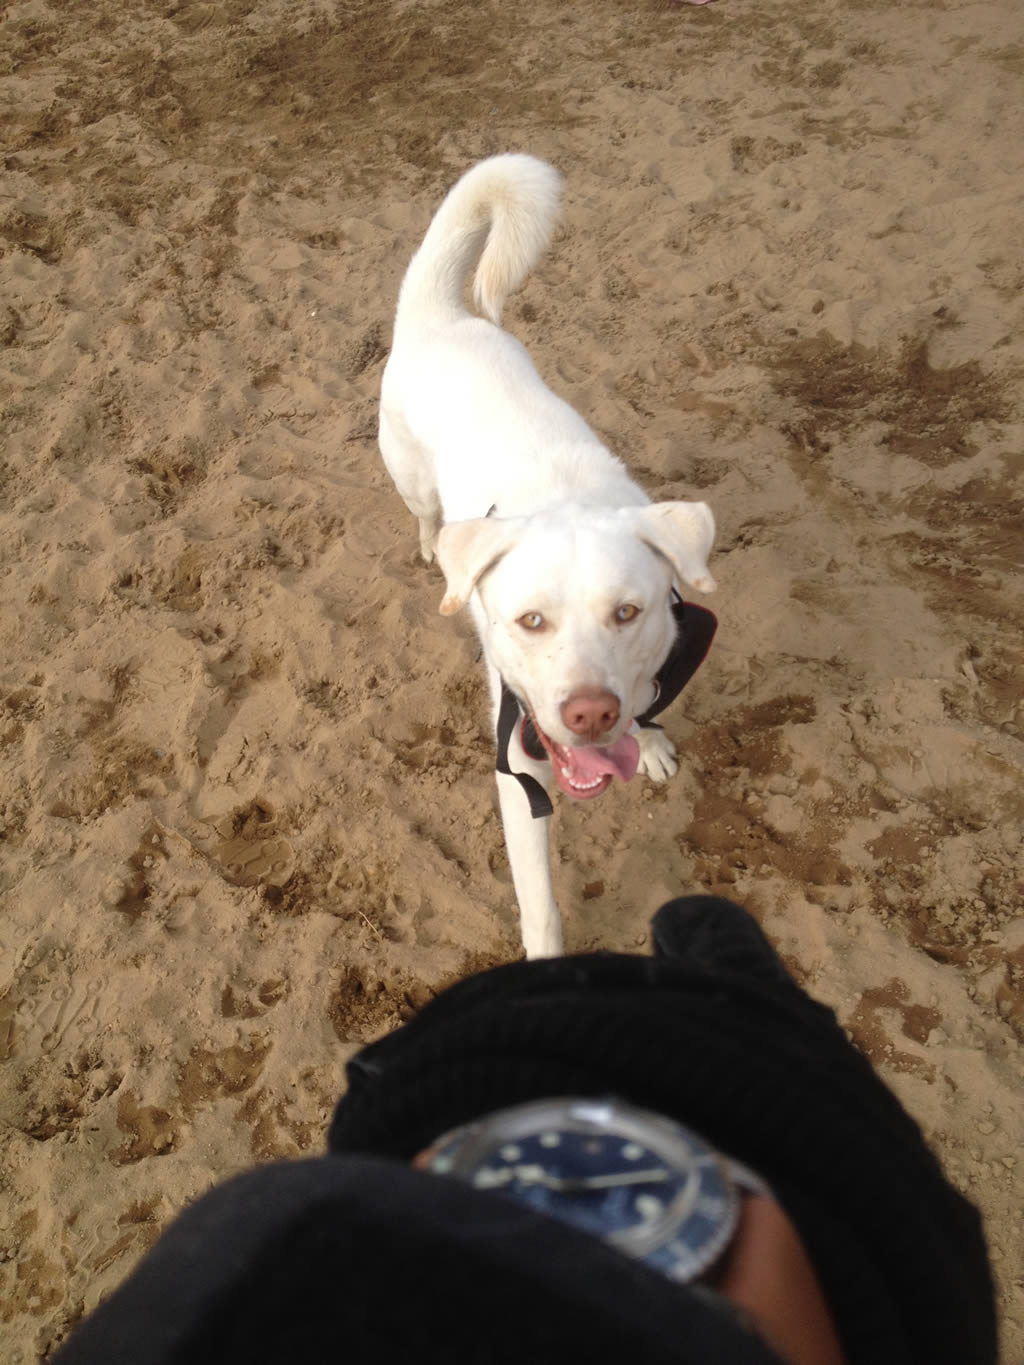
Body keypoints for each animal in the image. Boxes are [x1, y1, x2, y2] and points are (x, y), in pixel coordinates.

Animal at [378, 154, 717, 958]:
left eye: (628, 613)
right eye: (530, 621)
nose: (591, 714)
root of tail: (441, 318)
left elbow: (649, 697)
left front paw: (648, 740)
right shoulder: (518, 762)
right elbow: (540, 904)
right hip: (410, 479)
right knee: (426, 516)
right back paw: (431, 549)